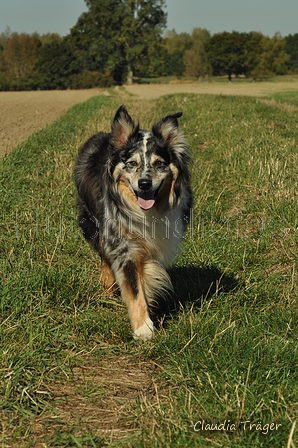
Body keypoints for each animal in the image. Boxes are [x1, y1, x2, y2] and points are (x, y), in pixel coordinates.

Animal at [73, 104, 192, 340]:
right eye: (132, 163)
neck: (146, 211)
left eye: (159, 163)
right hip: (91, 222)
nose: (144, 183)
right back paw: (108, 284)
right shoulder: (123, 245)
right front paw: (143, 329)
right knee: (103, 254)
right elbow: (134, 288)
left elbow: (146, 278)